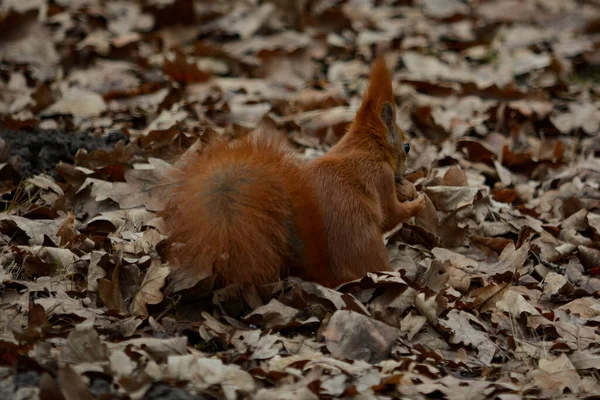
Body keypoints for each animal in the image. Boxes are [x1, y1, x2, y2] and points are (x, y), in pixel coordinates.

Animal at [163, 56, 426, 292]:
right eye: (406, 147)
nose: (406, 173)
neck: (364, 147)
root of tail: (324, 273)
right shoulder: (381, 176)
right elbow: (390, 215)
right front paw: (418, 202)